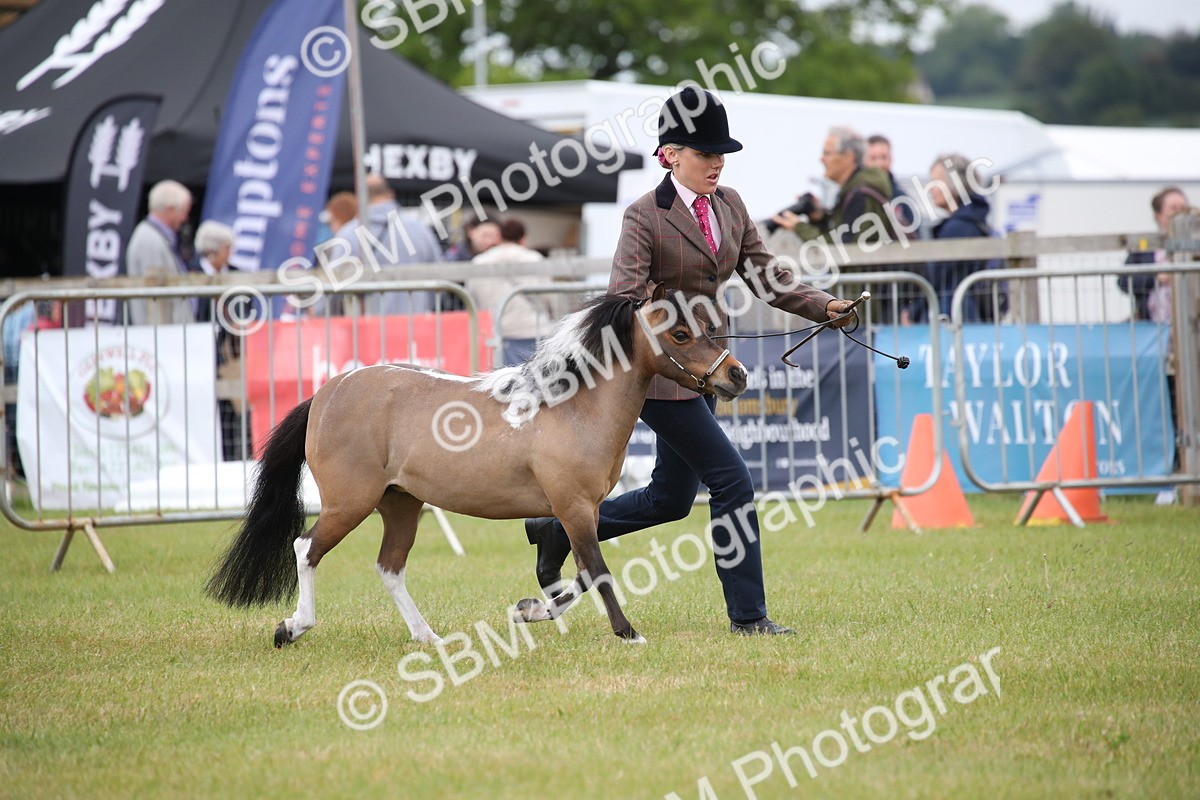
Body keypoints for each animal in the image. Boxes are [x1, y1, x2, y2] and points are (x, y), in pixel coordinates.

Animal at [206, 283, 748, 645]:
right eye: (680, 334)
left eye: (706, 326)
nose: (737, 376)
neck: (571, 405)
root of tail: (326, 393)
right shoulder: (573, 507)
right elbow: (597, 570)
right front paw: (628, 633)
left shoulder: (586, 510)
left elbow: (579, 575)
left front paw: (529, 610)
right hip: (350, 502)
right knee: (306, 548)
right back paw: (293, 627)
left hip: (400, 504)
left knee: (389, 567)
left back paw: (428, 637)